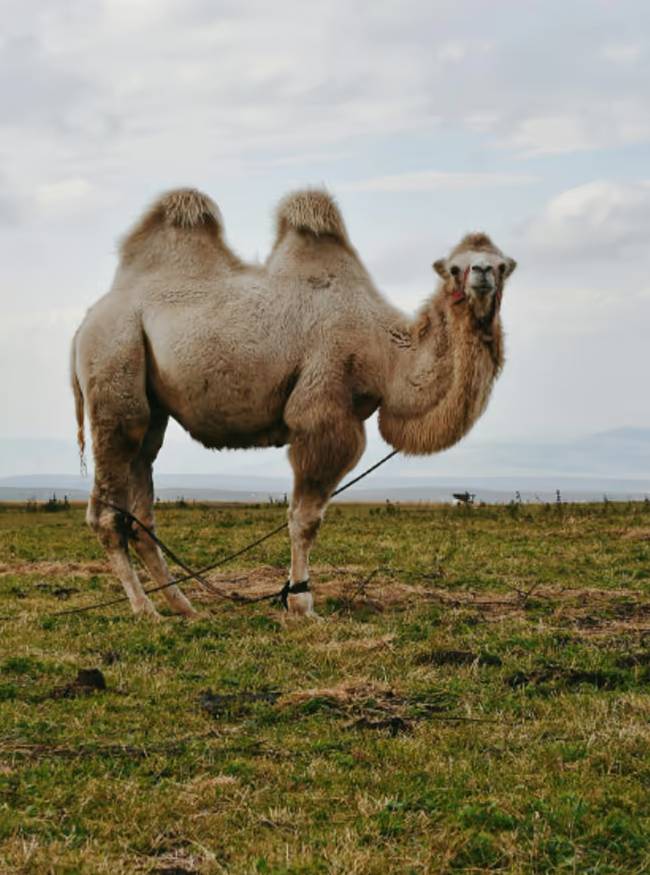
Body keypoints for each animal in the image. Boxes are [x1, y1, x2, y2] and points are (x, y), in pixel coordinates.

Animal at [71, 188, 516, 619]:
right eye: (455, 268)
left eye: (501, 265)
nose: (480, 275)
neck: (385, 353)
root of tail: (86, 323)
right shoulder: (324, 413)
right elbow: (305, 520)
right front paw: (301, 604)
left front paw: (293, 599)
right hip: (114, 360)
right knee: (108, 508)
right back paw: (145, 610)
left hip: (150, 405)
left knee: (142, 498)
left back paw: (185, 606)